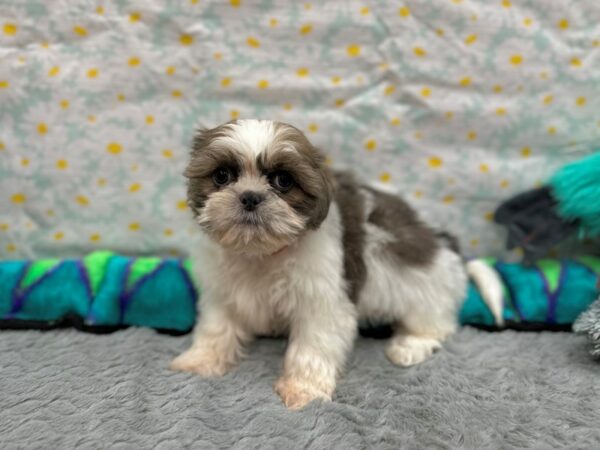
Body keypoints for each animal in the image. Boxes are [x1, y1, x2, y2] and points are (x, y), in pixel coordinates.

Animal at [170, 118, 468, 410]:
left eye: (283, 180)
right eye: (222, 175)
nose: (250, 196)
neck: (262, 253)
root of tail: (441, 242)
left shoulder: (321, 298)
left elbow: (314, 342)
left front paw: (303, 388)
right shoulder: (221, 290)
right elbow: (217, 326)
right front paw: (202, 359)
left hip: (425, 286)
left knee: (435, 324)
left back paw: (410, 346)